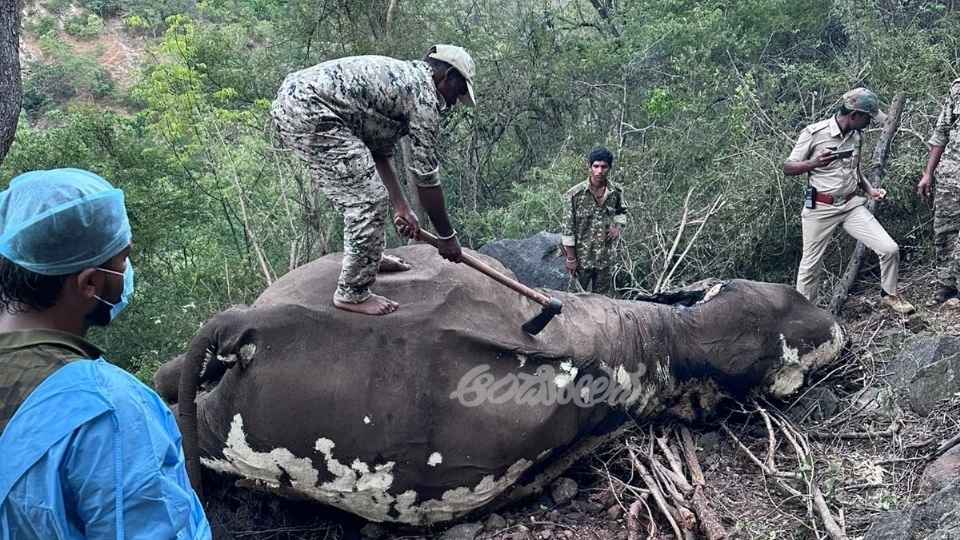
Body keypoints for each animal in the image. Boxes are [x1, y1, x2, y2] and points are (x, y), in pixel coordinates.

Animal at [154, 244, 844, 526]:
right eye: (788, 301)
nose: (834, 322)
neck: (657, 337)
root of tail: (249, 322)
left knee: (170, 382)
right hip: (271, 432)